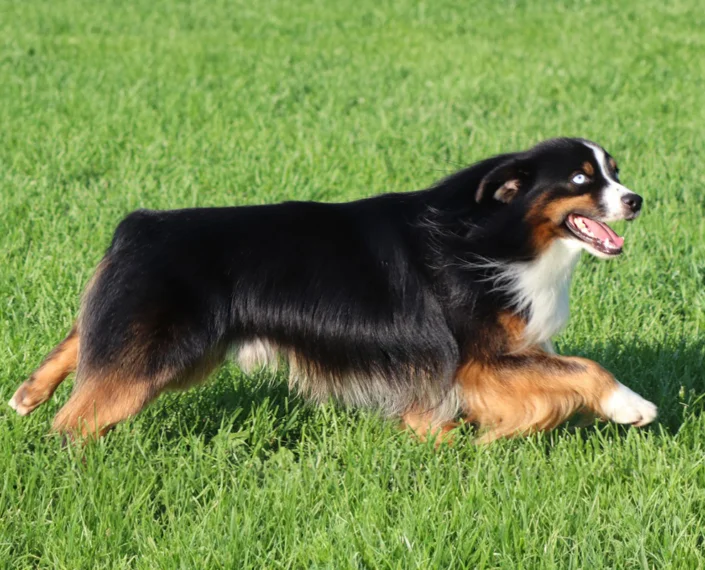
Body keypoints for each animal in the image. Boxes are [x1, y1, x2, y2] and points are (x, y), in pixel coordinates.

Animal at [8, 136, 656, 440]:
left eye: (615, 172)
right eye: (582, 179)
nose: (637, 200)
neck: (498, 232)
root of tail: (138, 225)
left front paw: (435, 439)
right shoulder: (478, 359)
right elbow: (582, 368)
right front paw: (632, 406)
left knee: (81, 338)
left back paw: (26, 394)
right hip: (157, 352)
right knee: (77, 420)